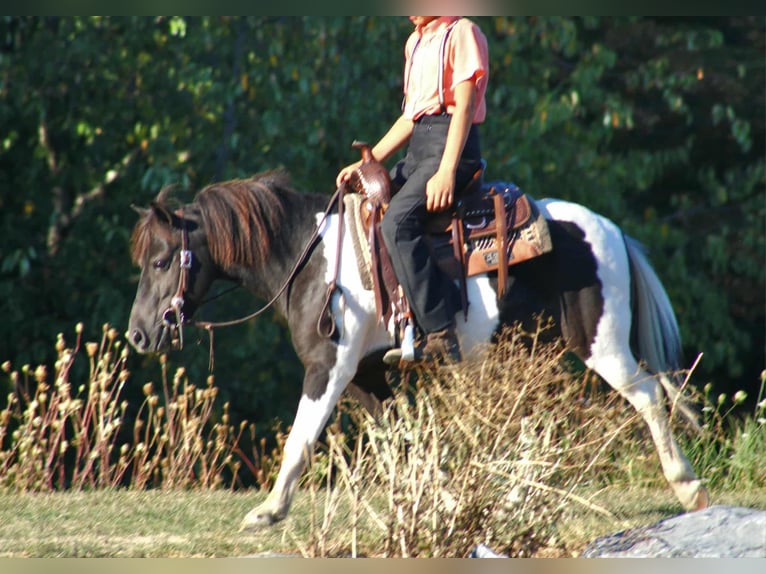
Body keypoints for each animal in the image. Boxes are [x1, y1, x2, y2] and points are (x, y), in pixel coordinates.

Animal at [127, 169, 709, 529]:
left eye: (160, 261)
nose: (138, 335)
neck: (311, 259)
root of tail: (610, 231)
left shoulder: (328, 367)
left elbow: (301, 438)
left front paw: (269, 510)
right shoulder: (365, 375)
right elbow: (404, 436)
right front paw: (448, 500)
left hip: (601, 346)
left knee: (648, 399)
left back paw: (687, 487)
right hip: (535, 353)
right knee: (543, 421)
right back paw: (516, 499)